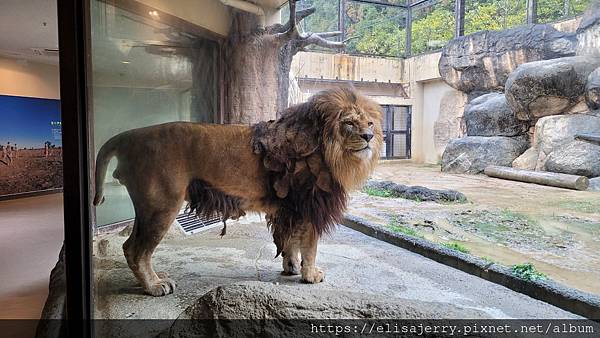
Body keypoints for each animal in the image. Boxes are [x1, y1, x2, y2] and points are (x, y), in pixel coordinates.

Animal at [94, 87, 384, 296]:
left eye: (370, 123)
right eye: (349, 123)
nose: (369, 136)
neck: (333, 151)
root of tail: (129, 136)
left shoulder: (290, 208)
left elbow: (290, 241)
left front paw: (290, 267)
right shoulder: (309, 206)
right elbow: (310, 247)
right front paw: (310, 275)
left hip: (148, 208)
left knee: (130, 246)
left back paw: (150, 280)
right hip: (162, 206)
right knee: (137, 250)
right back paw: (154, 286)